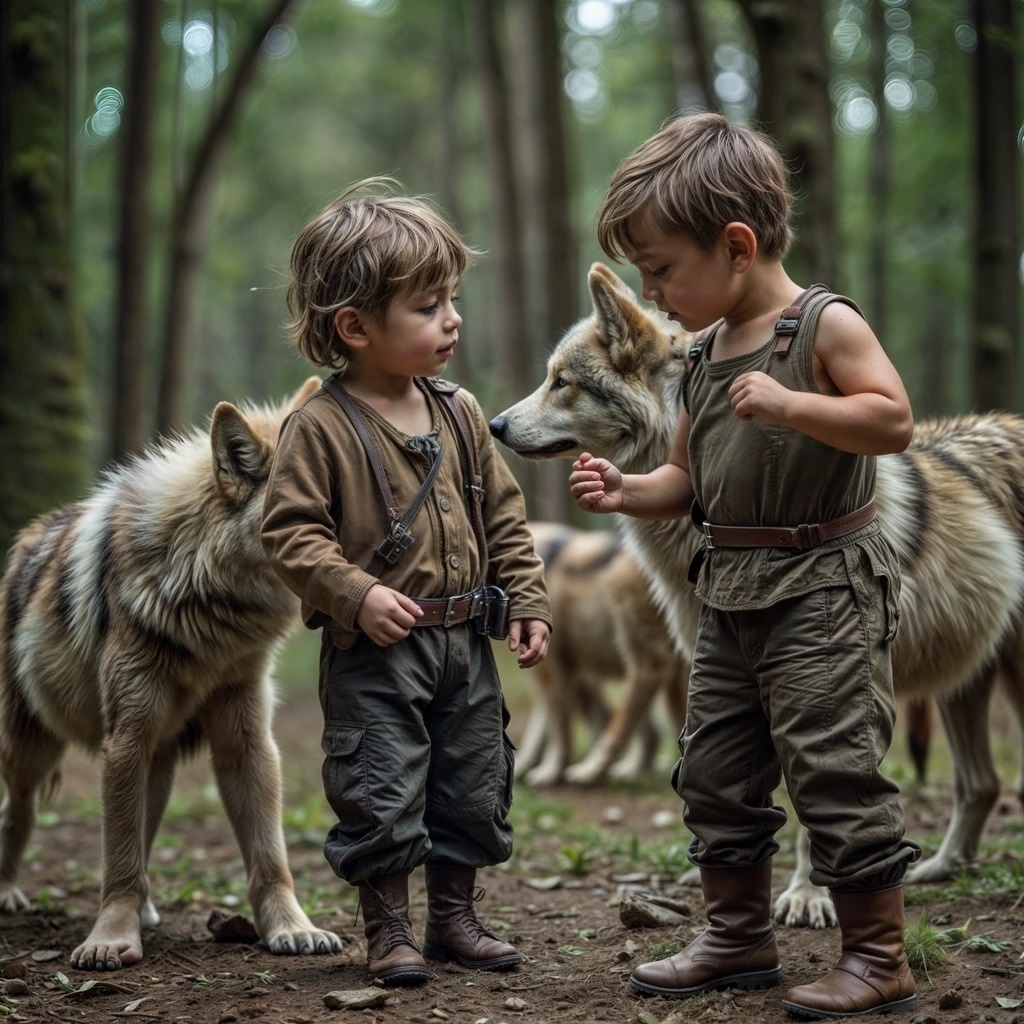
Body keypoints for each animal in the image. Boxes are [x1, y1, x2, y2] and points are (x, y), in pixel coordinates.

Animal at [0, 376, 344, 971]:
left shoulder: (248, 742)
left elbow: (270, 856)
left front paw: (292, 929)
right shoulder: (124, 741)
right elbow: (116, 859)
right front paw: (111, 940)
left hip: (156, 761)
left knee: (142, 834)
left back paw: (147, 909)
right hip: (33, 753)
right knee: (16, 813)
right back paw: (8, 894)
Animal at [518, 521, 688, 787]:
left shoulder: (553, 668)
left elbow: (559, 729)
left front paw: (549, 772)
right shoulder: (575, 672)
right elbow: (541, 727)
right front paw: (521, 768)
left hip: (645, 656)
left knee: (630, 718)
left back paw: (592, 771)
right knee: (654, 729)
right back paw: (631, 770)